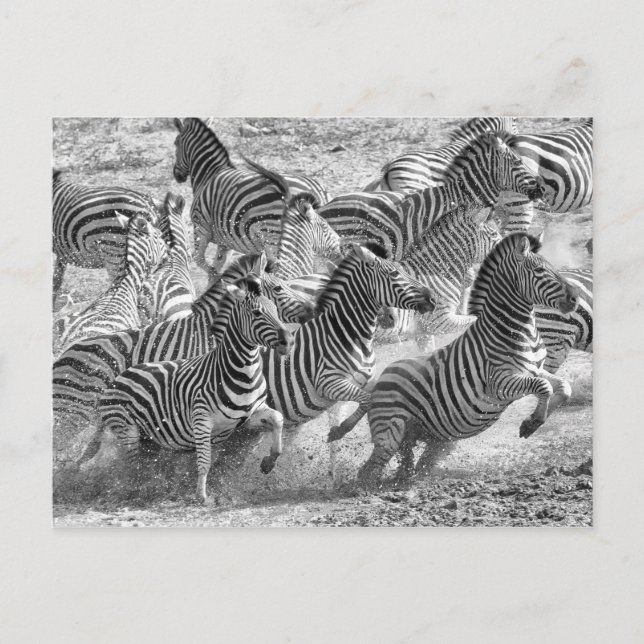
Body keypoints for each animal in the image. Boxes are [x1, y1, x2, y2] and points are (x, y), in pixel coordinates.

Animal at [84, 276, 293, 503]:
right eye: (257, 313)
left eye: (275, 309)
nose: (289, 341)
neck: (240, 372)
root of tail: (118, 378)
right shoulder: (201, 420)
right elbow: (204, 461)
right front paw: (201, 496)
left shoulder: (248, 415)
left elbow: (278, 419)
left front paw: (269, 462)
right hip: (127, 429)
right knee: (133, 466)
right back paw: (139, 493)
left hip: (149, 438)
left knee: (144, 465)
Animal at [172, 118, 328, 276]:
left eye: (176, 143)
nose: (177, 175)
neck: (208, 174)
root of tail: (317, 188)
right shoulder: (225, 241)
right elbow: (216, 267)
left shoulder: (200, 227)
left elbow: (200, 261)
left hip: (273, 237)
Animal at [350, 234, 580, 483]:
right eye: (539, 270)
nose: (575, 298)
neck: (514, 330)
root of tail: (378, 380)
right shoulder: (500, 382)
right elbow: (543, 386)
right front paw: (533, 422)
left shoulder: (535, 369)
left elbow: (564, 387)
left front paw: (538, 418)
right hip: (389, 433)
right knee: (368, 472)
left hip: (421, 434)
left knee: (409, 461)